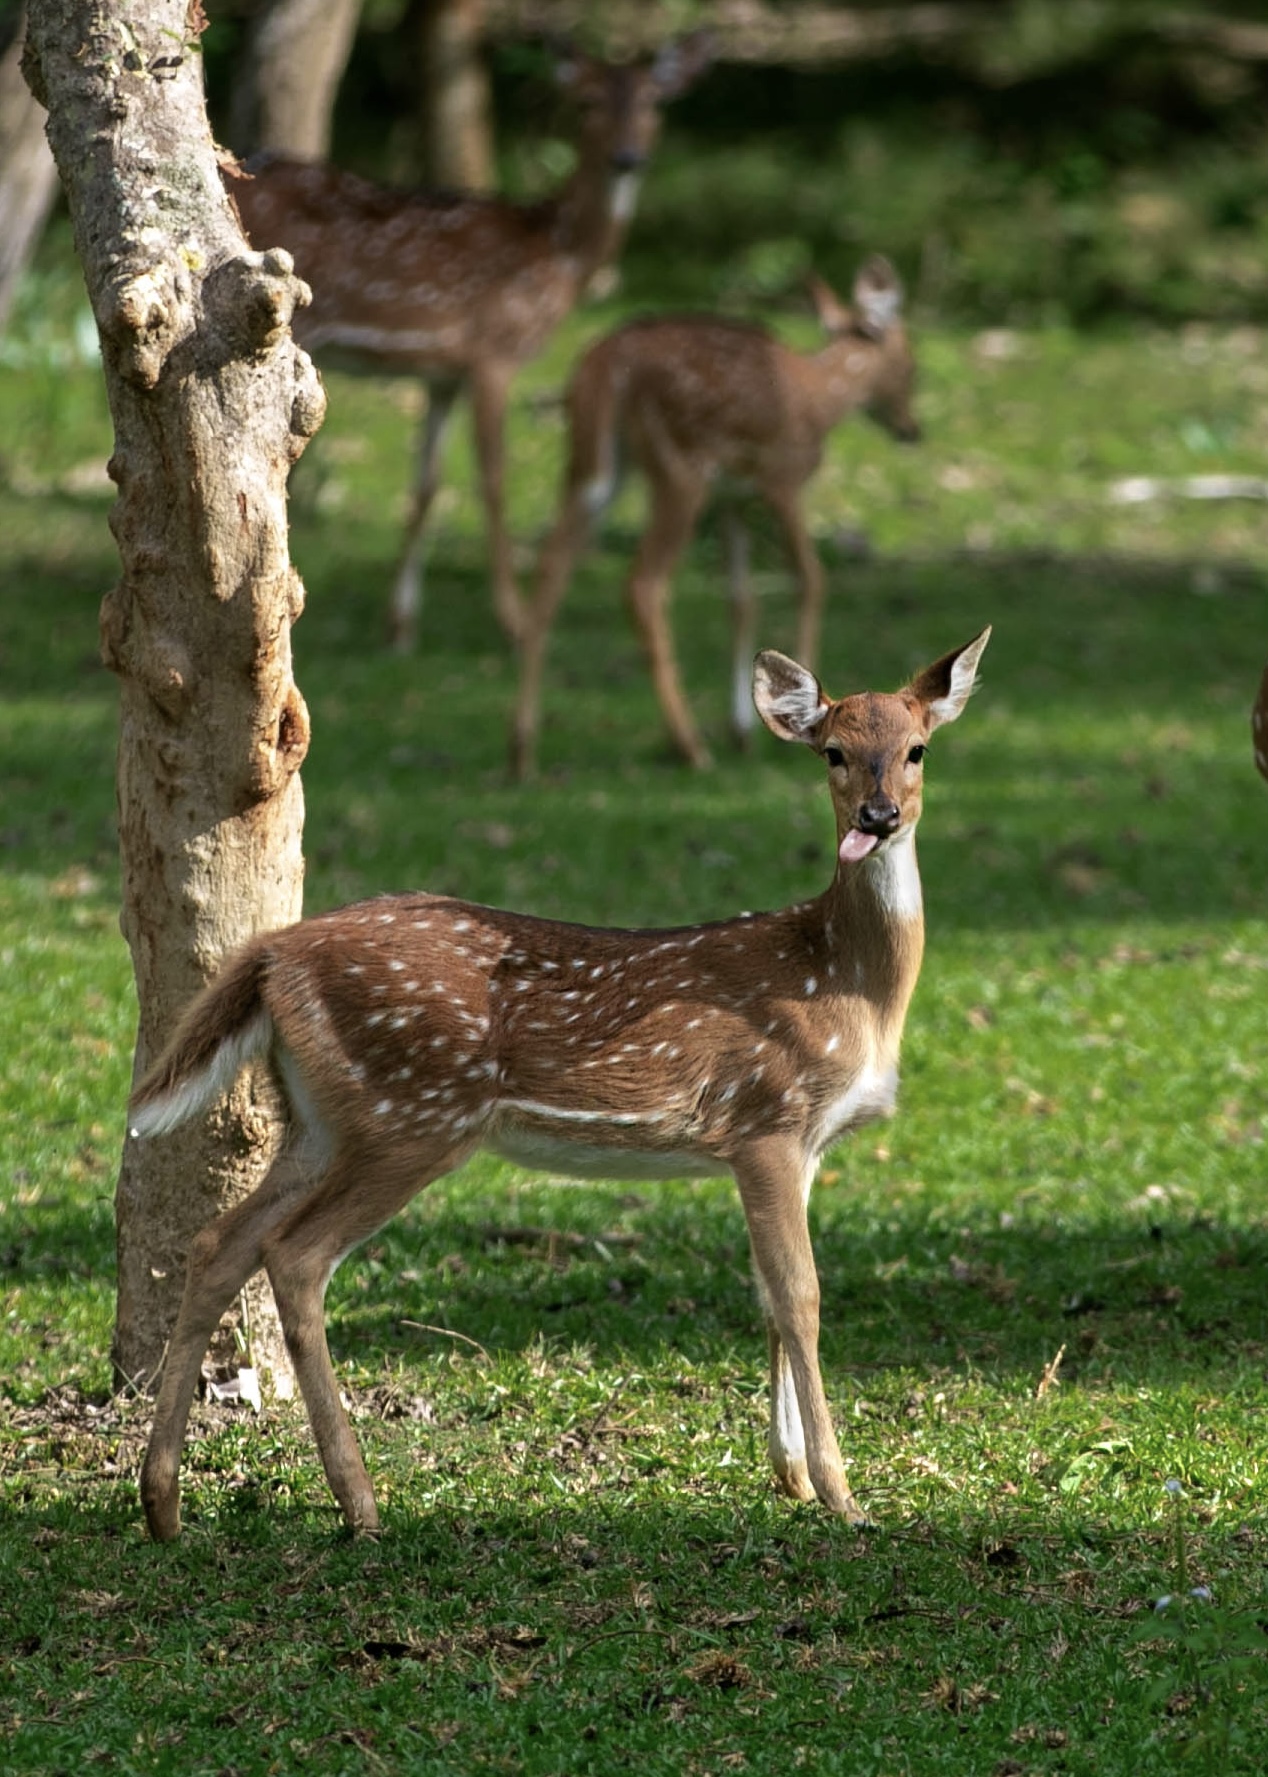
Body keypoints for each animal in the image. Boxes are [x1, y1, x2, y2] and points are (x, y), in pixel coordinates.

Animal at [128, 627, 990, 1543]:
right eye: (834, 751)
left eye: (917, 748)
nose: (878, 816)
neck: (845, 980)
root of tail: (269, 954)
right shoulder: (764, 1120)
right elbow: (801, 1294)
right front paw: (840, 1491)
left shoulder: (806, 1142)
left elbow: (766, 1294)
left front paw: (789, 1475)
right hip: (414, 1114)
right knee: (295, 1256)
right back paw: (359, 1502)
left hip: (322, 1118)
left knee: (221, 1239)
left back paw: (164, 1502)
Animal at [231, 36, 711, 652]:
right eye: (587, 101)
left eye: (655, 101)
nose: (627, 159)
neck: (559, 251)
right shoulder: (494, 350)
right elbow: (494, 481)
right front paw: (513, 619)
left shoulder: (442, 373)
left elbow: (427, 488)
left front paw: (400, 627)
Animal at [510, 258, 921, 778]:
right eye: (911, 366)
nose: (912, 428)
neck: (822, 401)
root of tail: (603, 368)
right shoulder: (782, 478)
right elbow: (811, 577)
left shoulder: (734, 500)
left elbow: (741, 599)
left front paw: (742, 731)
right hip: (680, 466)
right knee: (643, 584)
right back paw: (688, 746)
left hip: (591, 463)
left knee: (551, 566)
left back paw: (522, 752)